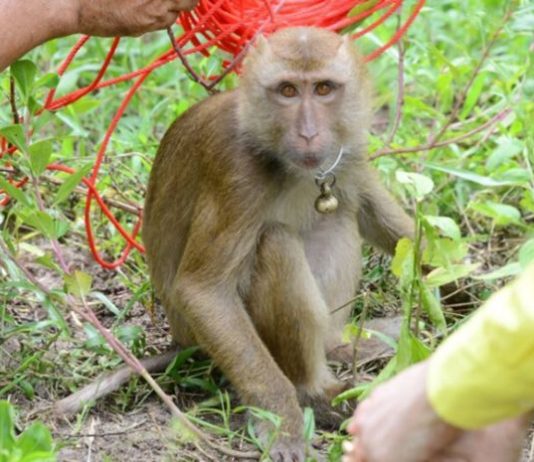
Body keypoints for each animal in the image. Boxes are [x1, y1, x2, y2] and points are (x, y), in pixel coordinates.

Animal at [54, 27, 414, 462]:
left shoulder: (347, 151)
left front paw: (457, 290)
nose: (309, 133)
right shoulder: (237, 175)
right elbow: (203, 291)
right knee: (276, 242)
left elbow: (373, 213)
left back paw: (337, 345)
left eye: (324, 88)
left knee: (337, 217)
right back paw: (315, 391)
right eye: (288, 90)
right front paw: (282, 421)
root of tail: (182, 340)